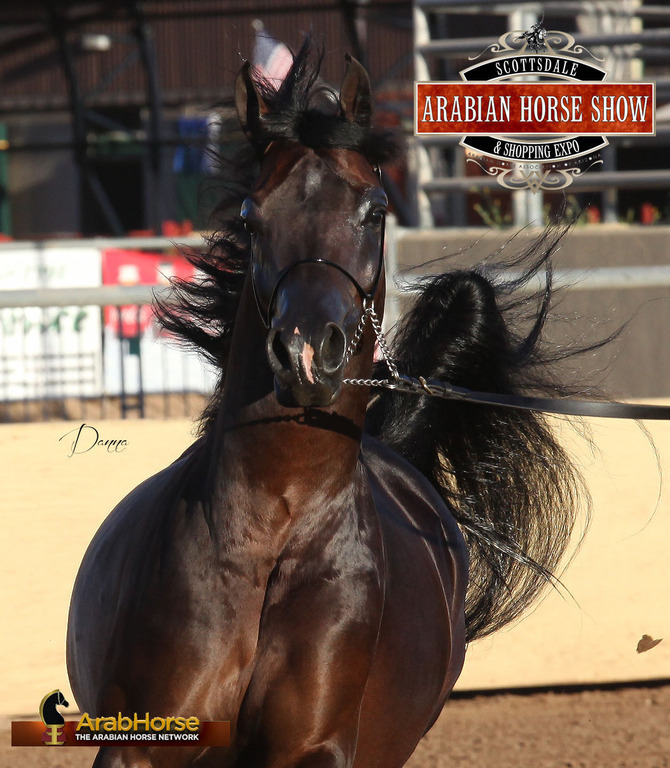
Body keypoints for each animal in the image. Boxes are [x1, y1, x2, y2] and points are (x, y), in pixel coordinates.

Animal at [67, 40, 588, 768]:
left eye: (374, 209)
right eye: (252, 216)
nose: (309, 351)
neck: (273, 540)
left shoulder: (312, 750)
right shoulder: (137, 746)